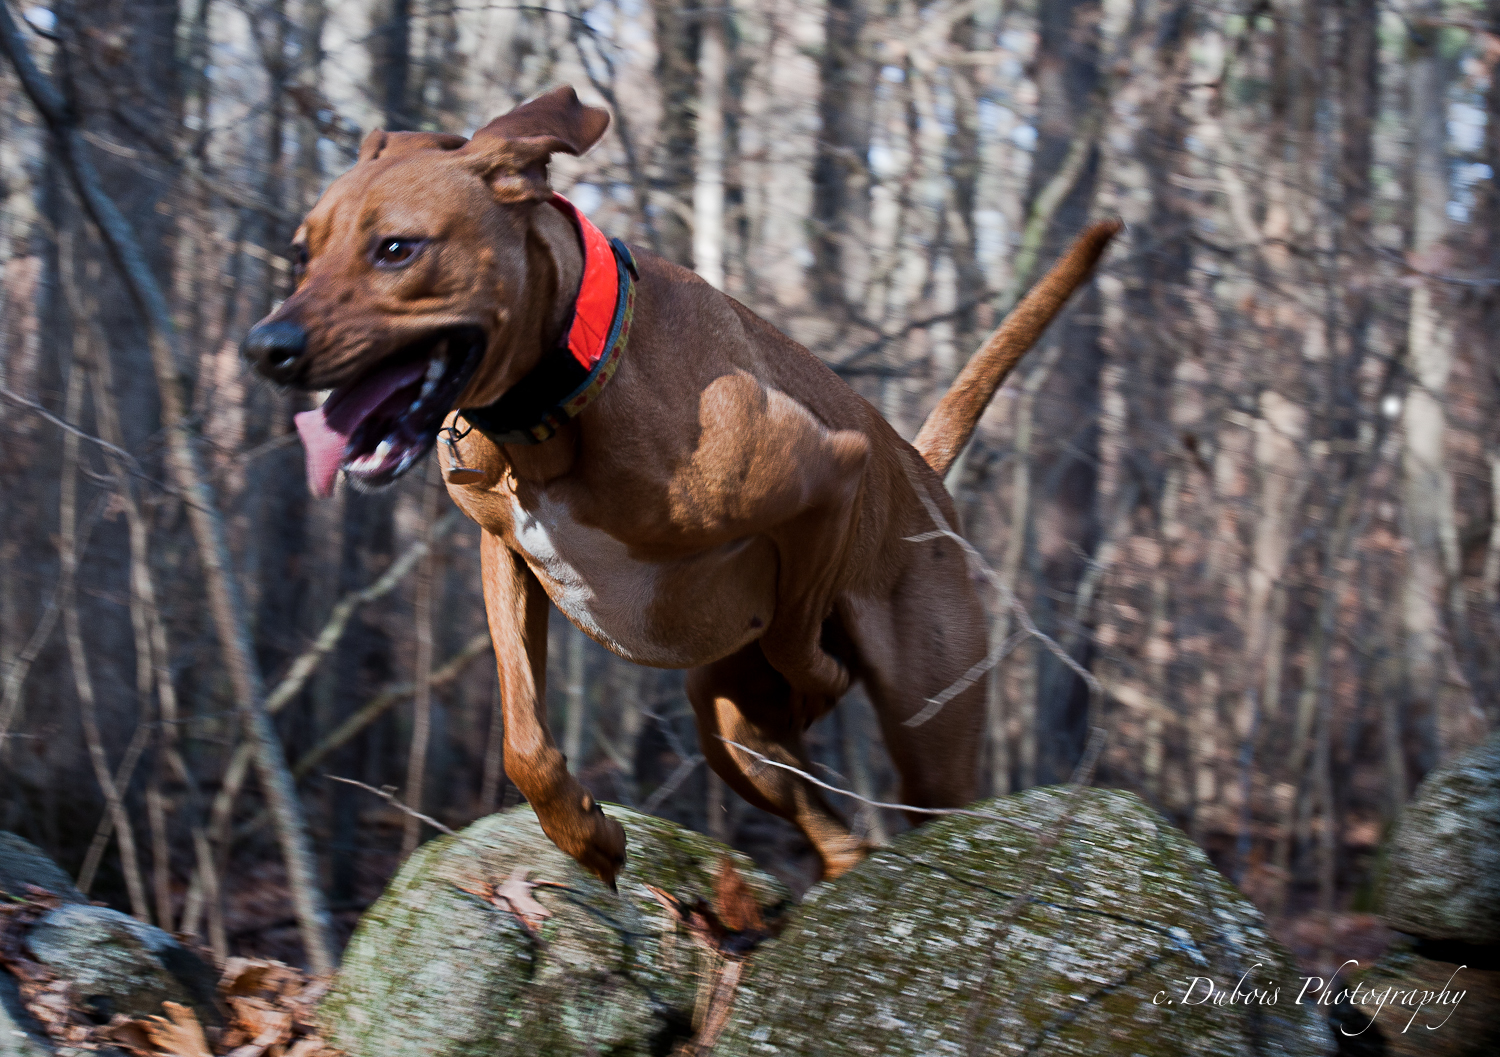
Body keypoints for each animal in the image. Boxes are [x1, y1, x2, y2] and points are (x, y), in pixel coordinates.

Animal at [243, 86, 1119, 887]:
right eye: (301, 252)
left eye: (397, 248)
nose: (264, 347)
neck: (567, 389)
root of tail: (922, 470)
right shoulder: (506, 552)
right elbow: (523, 739)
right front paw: (585, 832)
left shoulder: (832, 468)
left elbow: (796, 636)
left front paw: (818, 681)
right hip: (725, 732)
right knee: (838, 834)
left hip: (929, 736)